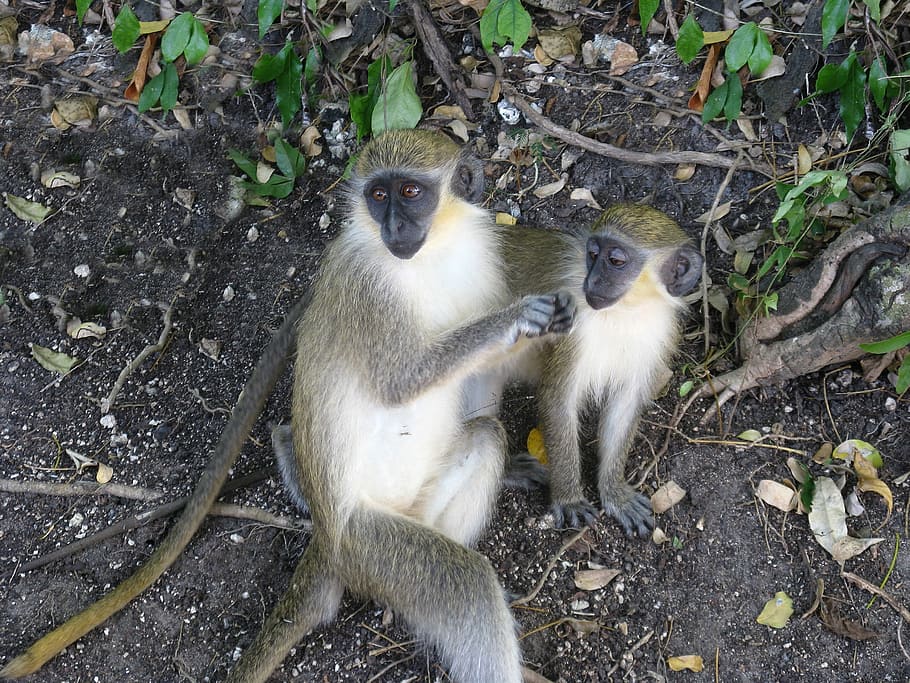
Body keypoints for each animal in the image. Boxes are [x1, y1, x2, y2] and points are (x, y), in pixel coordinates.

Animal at [1, 129, 575, 682]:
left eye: (411, 192)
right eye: (378, 195)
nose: (393, 225)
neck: (433, 253)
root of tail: (326, 538)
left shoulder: (483, 262)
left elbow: (479, 380)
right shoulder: (366, 287)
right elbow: (399, 381)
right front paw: (518, 318)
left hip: (413, 512)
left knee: (485, 434)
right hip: (367, 544)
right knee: (467, 584)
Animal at [500, 204, 703, 538]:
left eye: (616, 261)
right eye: (592, 254)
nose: (592, 282)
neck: (624, 313)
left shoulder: (658, 337)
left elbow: (625, 405)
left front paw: (614, 492)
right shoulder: (570, 326)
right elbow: (557, 399)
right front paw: (568, 497)